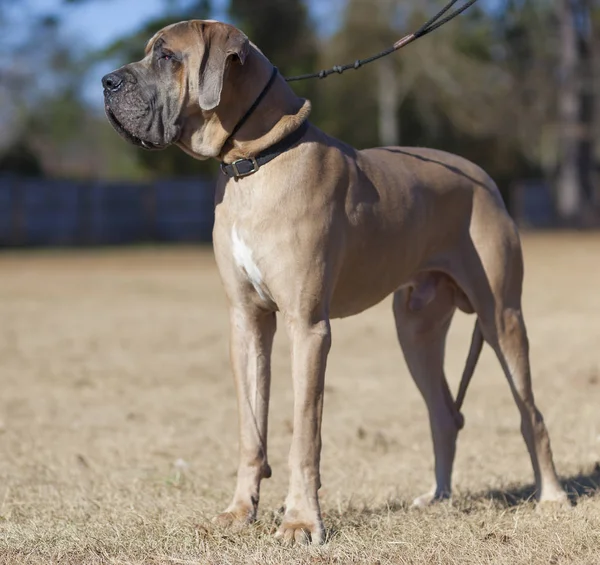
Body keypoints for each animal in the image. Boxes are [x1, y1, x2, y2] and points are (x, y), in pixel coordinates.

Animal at [102, 19, 568, 544]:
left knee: (531, 414)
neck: (255, 162)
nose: (106, 82)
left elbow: (305, 434)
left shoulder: (308, 328)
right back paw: (439, 497)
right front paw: (240, 512)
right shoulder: (247, 322)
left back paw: (552, 496)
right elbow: (250, 429)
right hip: (416, 330)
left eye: (166, 56)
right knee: (443, 413)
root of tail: (486, 179)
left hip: (502, 317)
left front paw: (301, 521)